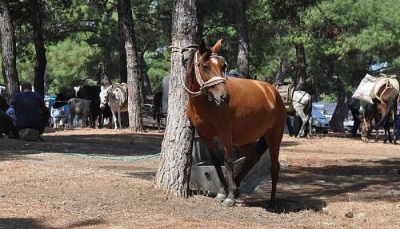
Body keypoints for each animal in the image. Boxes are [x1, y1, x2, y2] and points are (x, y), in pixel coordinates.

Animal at [186, 39, 286, 208]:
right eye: (205, 66)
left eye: (223, 66)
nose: (224, 97)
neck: (205, 104)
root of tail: (273, 92)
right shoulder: (205, 135)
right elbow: (216, 161)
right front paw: (223, 191)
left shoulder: (225, 133)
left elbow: (228, 161)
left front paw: (230, 196)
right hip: (242, 139)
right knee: (253, 157)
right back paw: (238, 186)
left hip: (274, 137)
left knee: (274, 168)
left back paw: (272, 201)